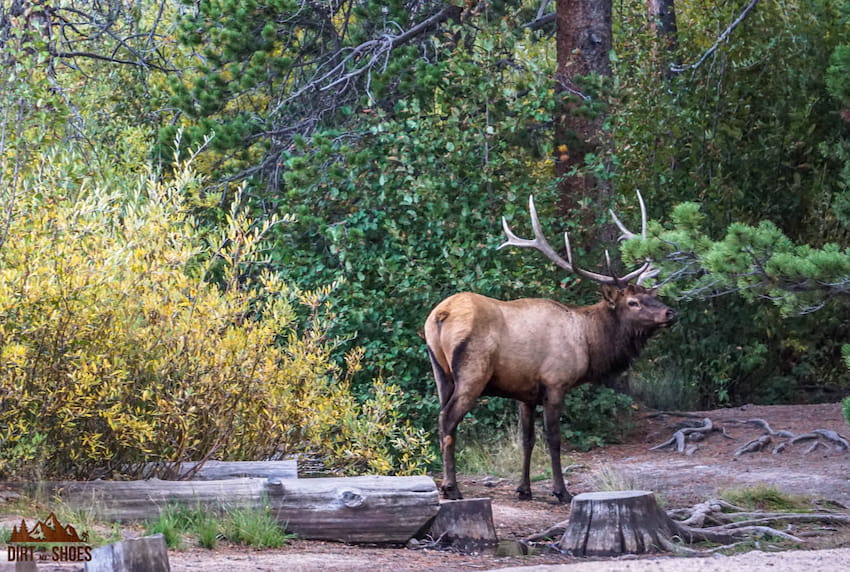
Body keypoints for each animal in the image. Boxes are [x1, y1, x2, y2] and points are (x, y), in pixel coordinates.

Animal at [424, 194, 676, 502]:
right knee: (449, 419)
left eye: (652, 294)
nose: (670, 313)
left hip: (439, 370)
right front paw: (561, 491)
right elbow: (554, 439)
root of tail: (441, 314)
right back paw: (452, 488)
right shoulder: (555, 383)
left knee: (440, 417)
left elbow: (527, 439)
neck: (588, 342)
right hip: (473, 371)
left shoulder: (524, 392)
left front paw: (524, 489)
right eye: (633, 302)